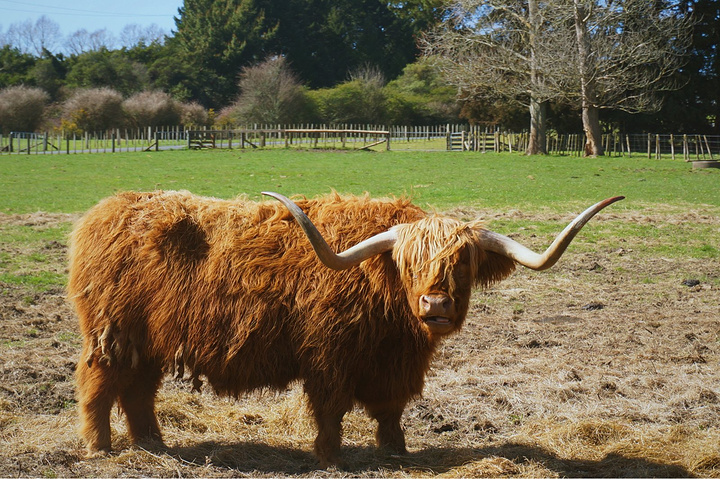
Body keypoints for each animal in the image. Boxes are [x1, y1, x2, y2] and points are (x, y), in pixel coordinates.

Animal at [67, 190, 620, 464]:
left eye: (463, 262)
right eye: (408, 262)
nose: (436, 303)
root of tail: (107, 209)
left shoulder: (395, 366)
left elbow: (390, 410)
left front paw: (396, 452)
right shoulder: (329, 355)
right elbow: (330, 408)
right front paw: (329, 457)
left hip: (148, 342)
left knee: (138, 391)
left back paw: (153, 444)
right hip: (111, 333)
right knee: (98, 384)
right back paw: (99, 447)